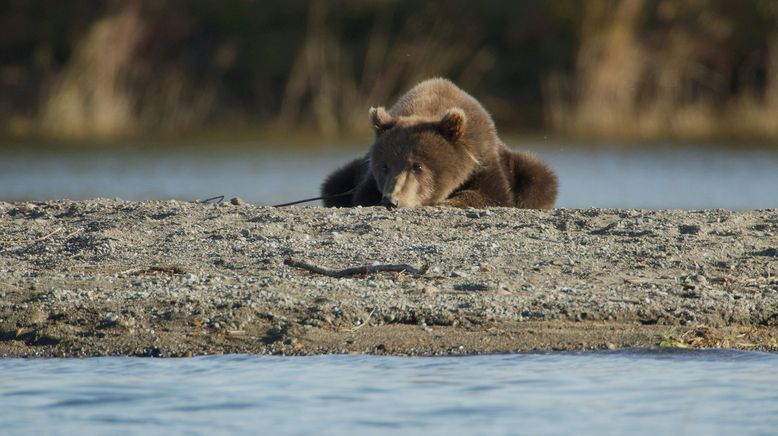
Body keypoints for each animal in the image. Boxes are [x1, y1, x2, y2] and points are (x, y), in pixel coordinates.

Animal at [318, 78, 556, 209]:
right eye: (384, 167)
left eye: (417, 166)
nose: (391, 201)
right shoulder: (366, 177)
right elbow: (362, 194)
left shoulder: (485, 158)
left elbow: (492, 195)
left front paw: (450, 201)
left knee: (538, 176)